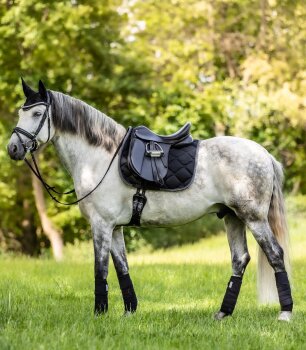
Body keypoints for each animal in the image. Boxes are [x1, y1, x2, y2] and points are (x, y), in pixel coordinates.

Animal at [7, 80, 292, 322]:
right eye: (21, 112)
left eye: (37, 114)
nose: (13, 149)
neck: (101, 158)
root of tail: (265, 155)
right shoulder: (115, 228)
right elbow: (121, 267)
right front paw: (129, 311)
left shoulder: (101, 225)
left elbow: (101, 269)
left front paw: (100, 314)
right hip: (232, 217)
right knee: (239, 259)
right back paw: (223, 313)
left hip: (254, 218)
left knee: (275, 254)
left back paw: (285, 313)